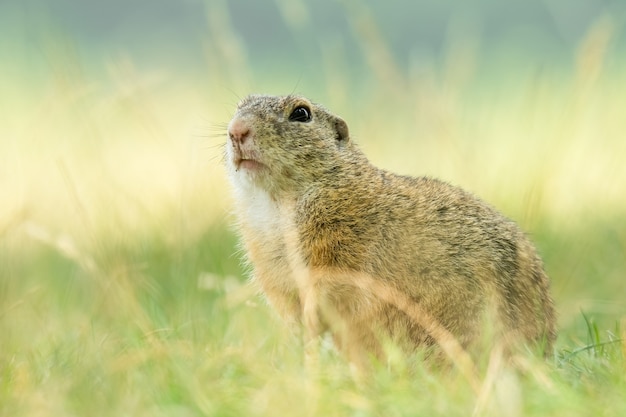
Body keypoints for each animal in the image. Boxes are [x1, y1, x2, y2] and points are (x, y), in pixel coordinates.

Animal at [224, 93, 556, 364]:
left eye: (301, 113)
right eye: (239, 106)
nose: (236, 130)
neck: (277, 205)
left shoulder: (338, 248)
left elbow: (327, 295)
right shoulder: (273, 272)